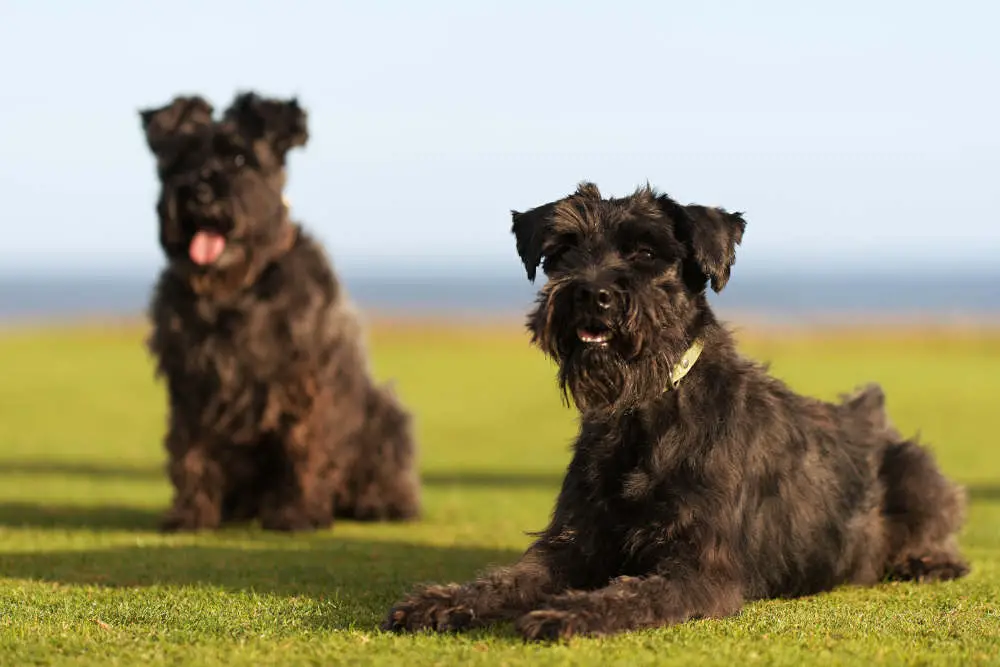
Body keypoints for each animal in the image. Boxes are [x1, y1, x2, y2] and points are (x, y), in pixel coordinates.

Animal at [141, 92, 422, 532]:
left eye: (240, 159)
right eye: (182, 158)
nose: (199, 191)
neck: (235, 288)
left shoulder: (301, 381)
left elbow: (301, 447)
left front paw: (297, 514)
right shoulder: (191, 384)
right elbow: (190, 449)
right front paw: (190, 515)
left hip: (385, 414)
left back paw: (381, 504)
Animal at [380, 183, 960, 640]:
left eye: (645, 251)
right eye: (564, 249)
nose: (592, 293)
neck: (644, 413)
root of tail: (870, 416)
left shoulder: (701, 570)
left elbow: (630, 594)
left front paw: (568, 613)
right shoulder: (570, 543)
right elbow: (506, 578)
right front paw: (442, 601)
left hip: (916, 470)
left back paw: (927, 560)